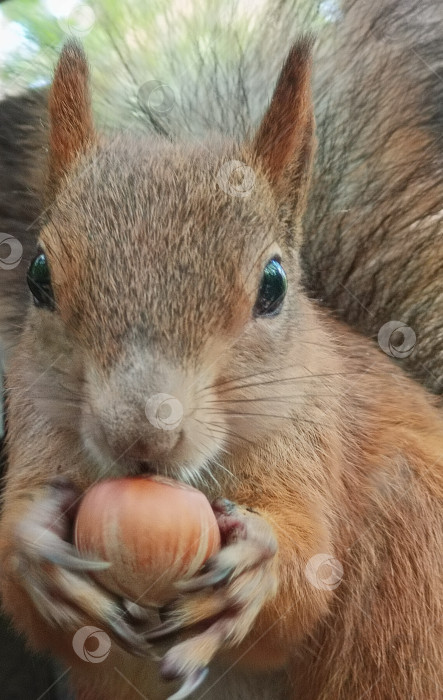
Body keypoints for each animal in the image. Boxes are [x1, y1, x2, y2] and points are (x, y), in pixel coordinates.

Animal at [0, 1, 442, 700]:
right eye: (39, 275)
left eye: (273, 285)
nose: (142, 436)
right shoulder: (35, 420)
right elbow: (27, 598)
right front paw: (35, 546)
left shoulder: (313, 442)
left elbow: (306, 583)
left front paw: (259, 562)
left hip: (411, 572)